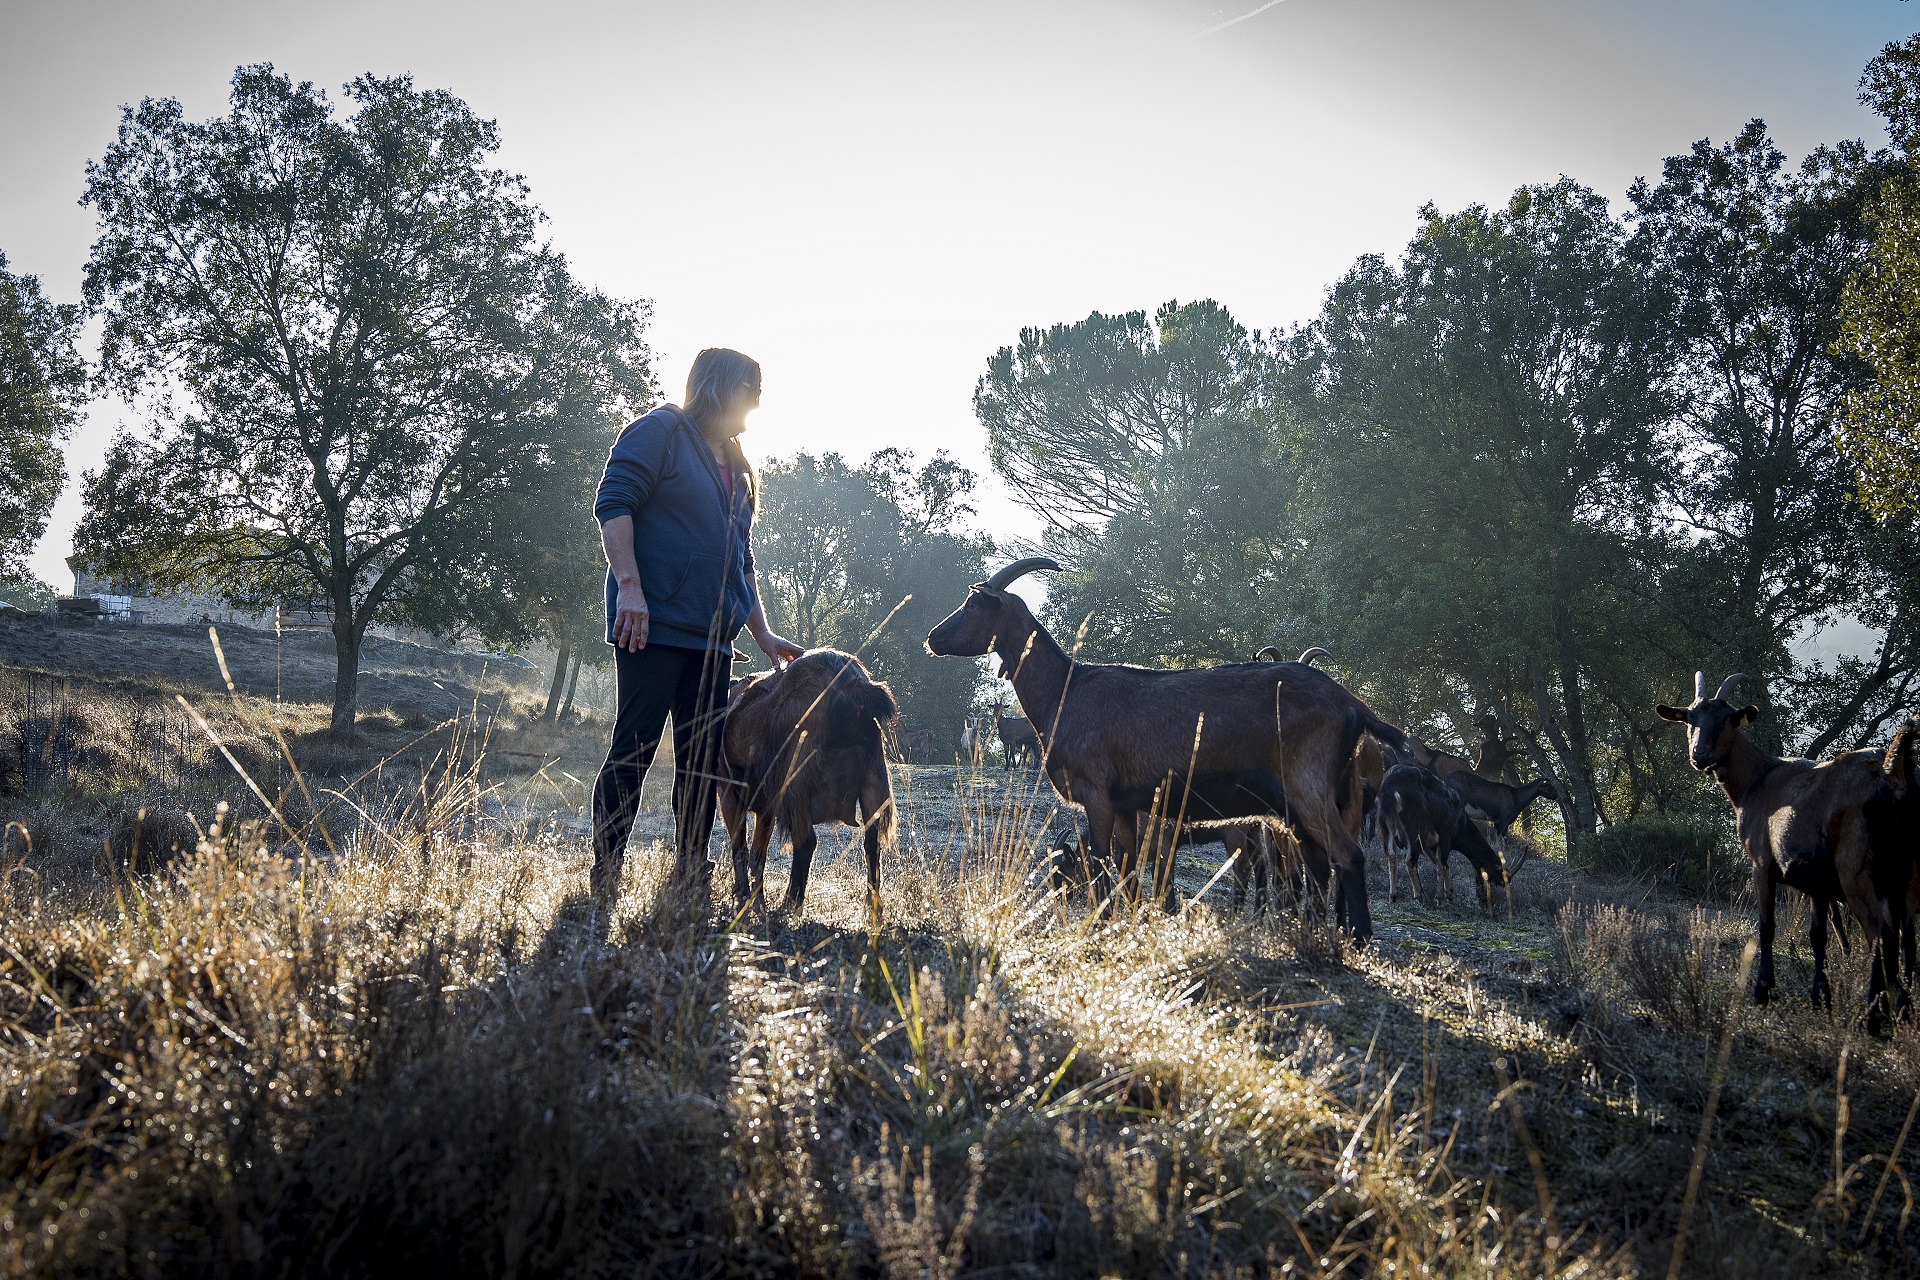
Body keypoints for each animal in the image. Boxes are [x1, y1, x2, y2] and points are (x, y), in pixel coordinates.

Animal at [721, 656, 898, 917]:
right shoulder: (766, 808)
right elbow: (757, 854)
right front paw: (757, 900)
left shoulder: (729, 793)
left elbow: (740, 848)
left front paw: (744, 898)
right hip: (873, 779)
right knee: (872, 840)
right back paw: (872, 905)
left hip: (796, 784)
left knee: (805, 841)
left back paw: (790, 903)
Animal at [929, 560, 1413, 940]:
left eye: (974, 604)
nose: (933, 637)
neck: (1065, 688)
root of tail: (1353, 705)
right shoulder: (1128, 805)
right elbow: (1127, 872)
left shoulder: (1096, 793)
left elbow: (1103, 865)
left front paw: (1099, 927)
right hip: (1305, 805)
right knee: (1315, 868)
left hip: (1308, 789)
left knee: (1346, 858)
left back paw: (1356, 942)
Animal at [1382, 767, 1512, 905]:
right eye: (1493, 877)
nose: (1484, 899)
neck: (1461, 820)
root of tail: (1392, 786)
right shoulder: (1445, 837)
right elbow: (1442, 865)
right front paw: (1440, 897)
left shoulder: (1431, 846)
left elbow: (1442, 865)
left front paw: (1449, 894)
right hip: (1413, 831)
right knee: (1410, 860)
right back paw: (1420, 896)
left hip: (1386, 825)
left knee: (1391, 856)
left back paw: (1393, 896)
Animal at [1658, 671, 1912, 1028]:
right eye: (1690, 719)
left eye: (1726, 720)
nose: (1699, 755)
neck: (1757, 780)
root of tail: (1889, 776)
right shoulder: (1818, 883)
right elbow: (1818, 935)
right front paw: (1820, 997)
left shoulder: (1762, 865)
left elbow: (1767, 927)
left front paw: (1762, 991)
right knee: (1905, 936)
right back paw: (1901, 1012)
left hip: (1858, 872)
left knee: (1880, 934)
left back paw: (1874, 1017)